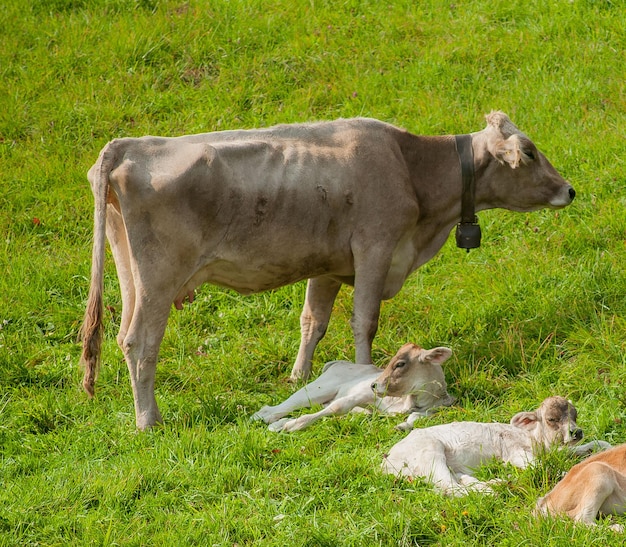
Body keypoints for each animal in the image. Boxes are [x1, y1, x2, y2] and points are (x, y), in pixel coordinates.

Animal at [251, 344, 450, 434]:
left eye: (400, 364)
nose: (374, 384)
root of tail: (339, 362)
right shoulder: (362, 394)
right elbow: (339, 406)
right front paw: (293, 426)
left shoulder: (436, 409)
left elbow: (417, 418)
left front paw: (402, 426)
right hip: (317, 389)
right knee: (278, 407)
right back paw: (263, 417)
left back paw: (277, 425)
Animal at [380, 396, 600, 498]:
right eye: (552, 419)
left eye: (575, 414)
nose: (576, 432)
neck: (534, 440)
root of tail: (386, 462)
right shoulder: (515, 453)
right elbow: (541, 467)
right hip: (430, 454)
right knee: (451, 488)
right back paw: (495, 489)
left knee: (460, 481)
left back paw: (498, 481)